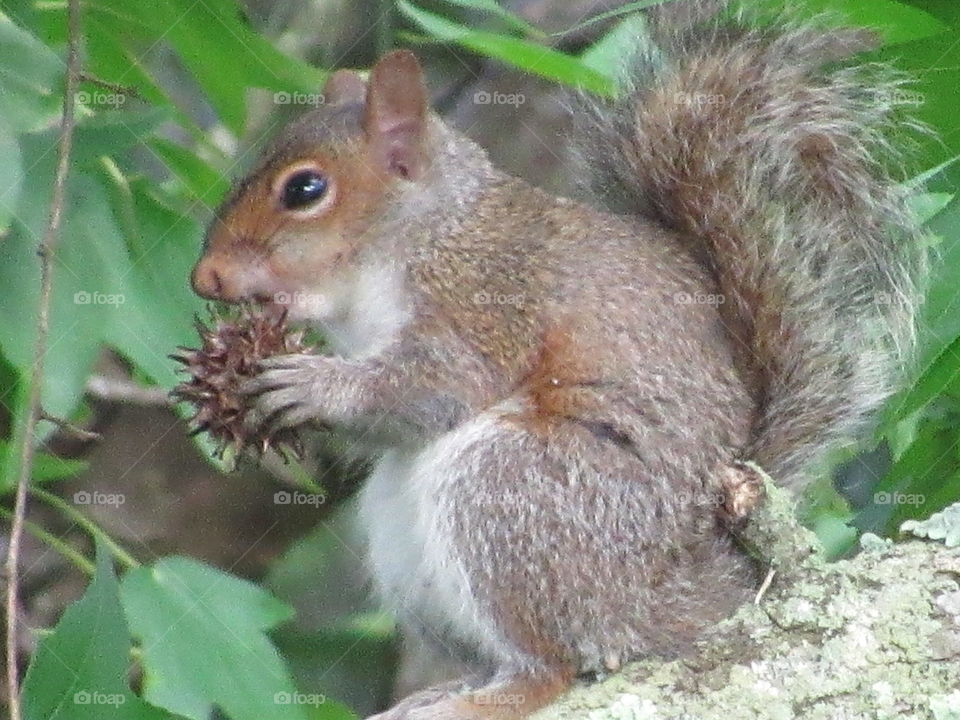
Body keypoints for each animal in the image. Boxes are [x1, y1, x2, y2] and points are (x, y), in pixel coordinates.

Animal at [190, 0, 924, 718]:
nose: (206, 279)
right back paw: (445, 691)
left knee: (554, 668)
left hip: (514, 488)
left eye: (305, 190)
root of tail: (675, 597)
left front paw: (313, 384)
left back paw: (489, 699)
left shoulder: (486, 301)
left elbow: (436, 386)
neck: (420, 234)